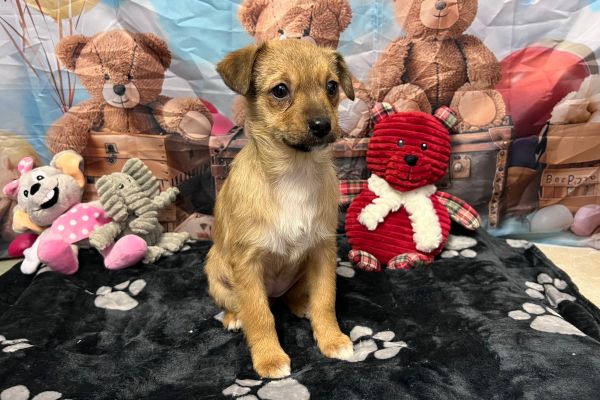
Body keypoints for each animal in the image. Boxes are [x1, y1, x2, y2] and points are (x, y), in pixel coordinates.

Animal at [205, 39, 355, 379]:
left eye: (331, 87)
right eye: (280, 90)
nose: (322, 125)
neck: (294, 173)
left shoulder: (323, 251)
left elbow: (326, 299)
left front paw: (332, 338)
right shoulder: (247, 264)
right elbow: (260, 315)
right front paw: (269, 358)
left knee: (294, 296)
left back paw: (303, 305)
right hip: (217, 274)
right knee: (244, 304)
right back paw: (235, 317)